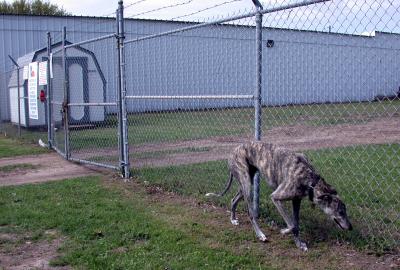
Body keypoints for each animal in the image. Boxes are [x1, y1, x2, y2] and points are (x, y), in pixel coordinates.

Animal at [208, 141, 352, 251]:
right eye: (340, 211)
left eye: (345, 211)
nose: (350, 227)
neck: (311, 180)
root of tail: (233, 150)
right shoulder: (276, 197)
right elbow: (292, 224)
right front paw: (284, 231)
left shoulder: (296, 200)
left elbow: (296, 224)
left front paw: (299, 244)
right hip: (247, 184)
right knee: (251, 213)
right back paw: (260, 235)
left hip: (246, 184)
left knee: (233, 200)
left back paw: (233, 219)